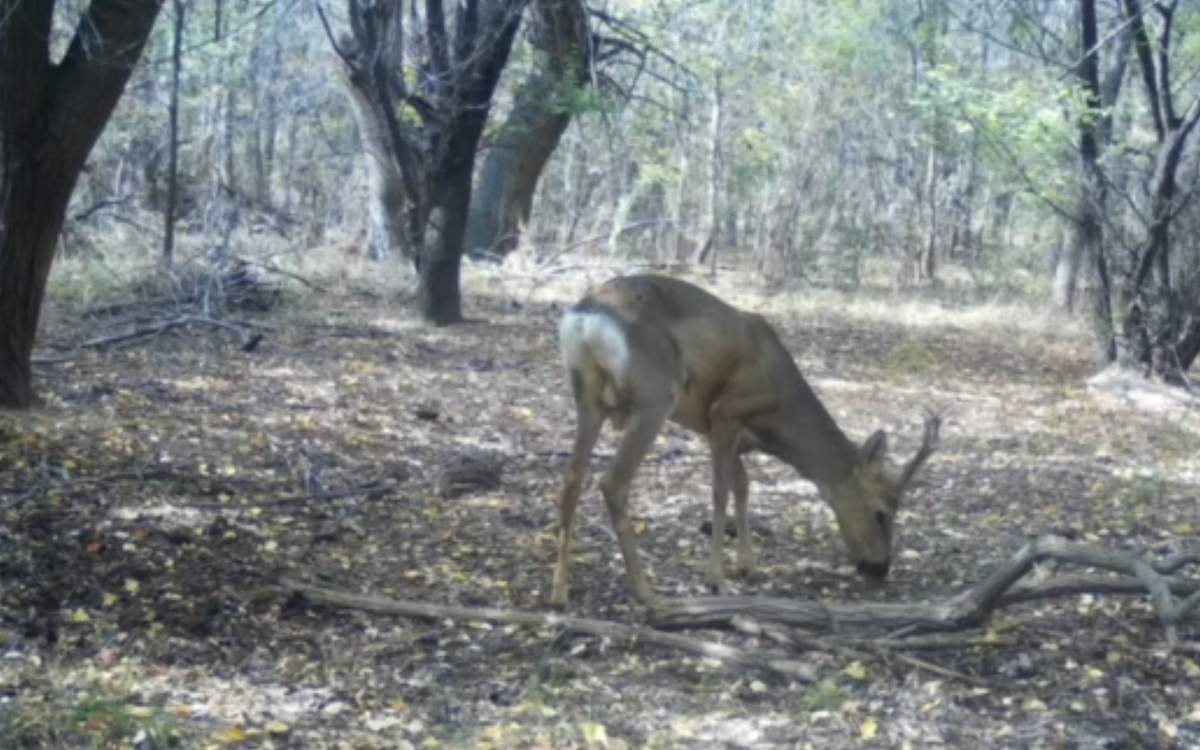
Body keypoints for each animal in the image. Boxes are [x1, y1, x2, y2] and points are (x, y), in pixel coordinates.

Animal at [549, 274, 936, 609]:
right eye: (882, 512)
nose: (880, 568)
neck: (777, 409)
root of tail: (586, 317)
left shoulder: (720, 430)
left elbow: (743, 485)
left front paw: (746, 565)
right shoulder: (725, 413)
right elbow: (721, 490)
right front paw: (716, 577)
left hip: (588, 397)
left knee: (570, 480)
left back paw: (560, 591)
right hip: (655, 395)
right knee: (613, 481)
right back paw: (645, 591)